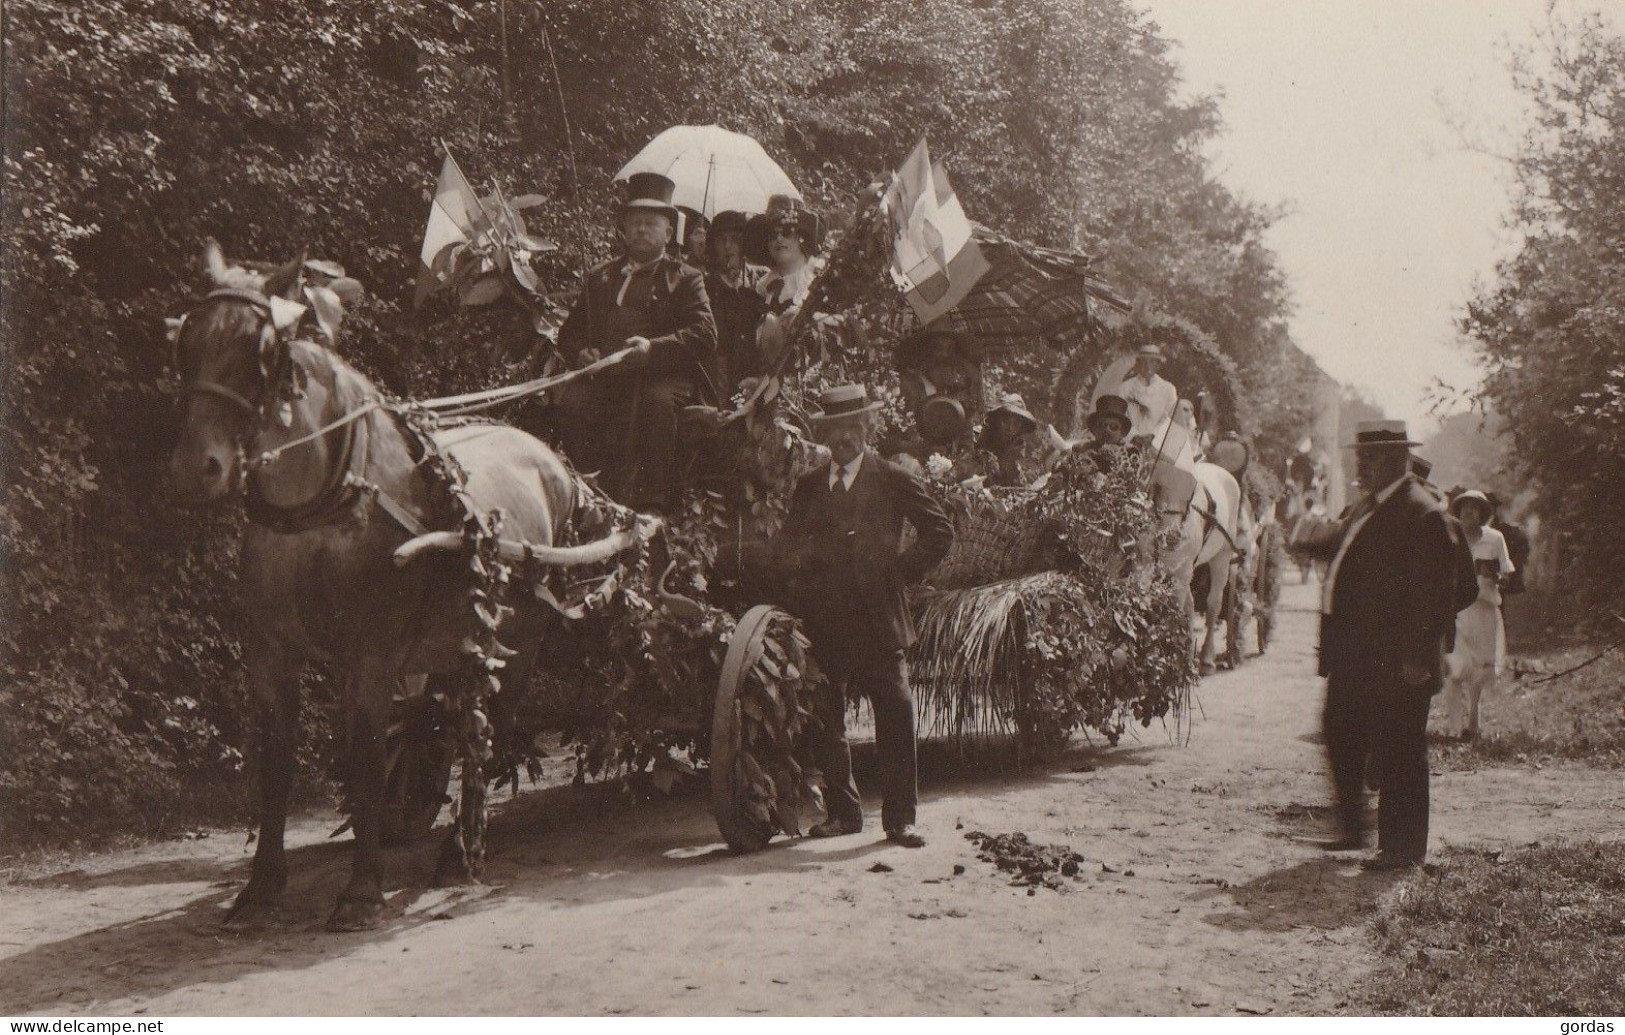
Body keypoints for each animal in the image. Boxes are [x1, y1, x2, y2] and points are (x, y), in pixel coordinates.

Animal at [168, 242, 643, 929]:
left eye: (260, 353)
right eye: (187, 343)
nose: (193, 469)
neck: (322, 509)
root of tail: (554, 461)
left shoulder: (370, 654)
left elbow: (363, 759)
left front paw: (361, 890)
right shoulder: (270, 653)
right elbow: (277, 767)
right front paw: (260, 889)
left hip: (519, 637)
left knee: (486, 728)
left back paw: (460, 849)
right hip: (461, 638)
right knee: (448, 718)